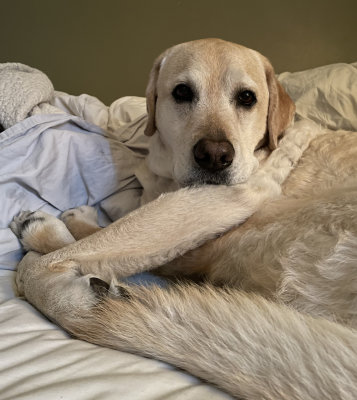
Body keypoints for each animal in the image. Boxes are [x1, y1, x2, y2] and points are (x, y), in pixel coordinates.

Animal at [11, 38, 356, 400]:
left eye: (247, 98)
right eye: (182, 92)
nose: (215, 156)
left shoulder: (219, 202)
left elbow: (96, 237)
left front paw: (60, 227)